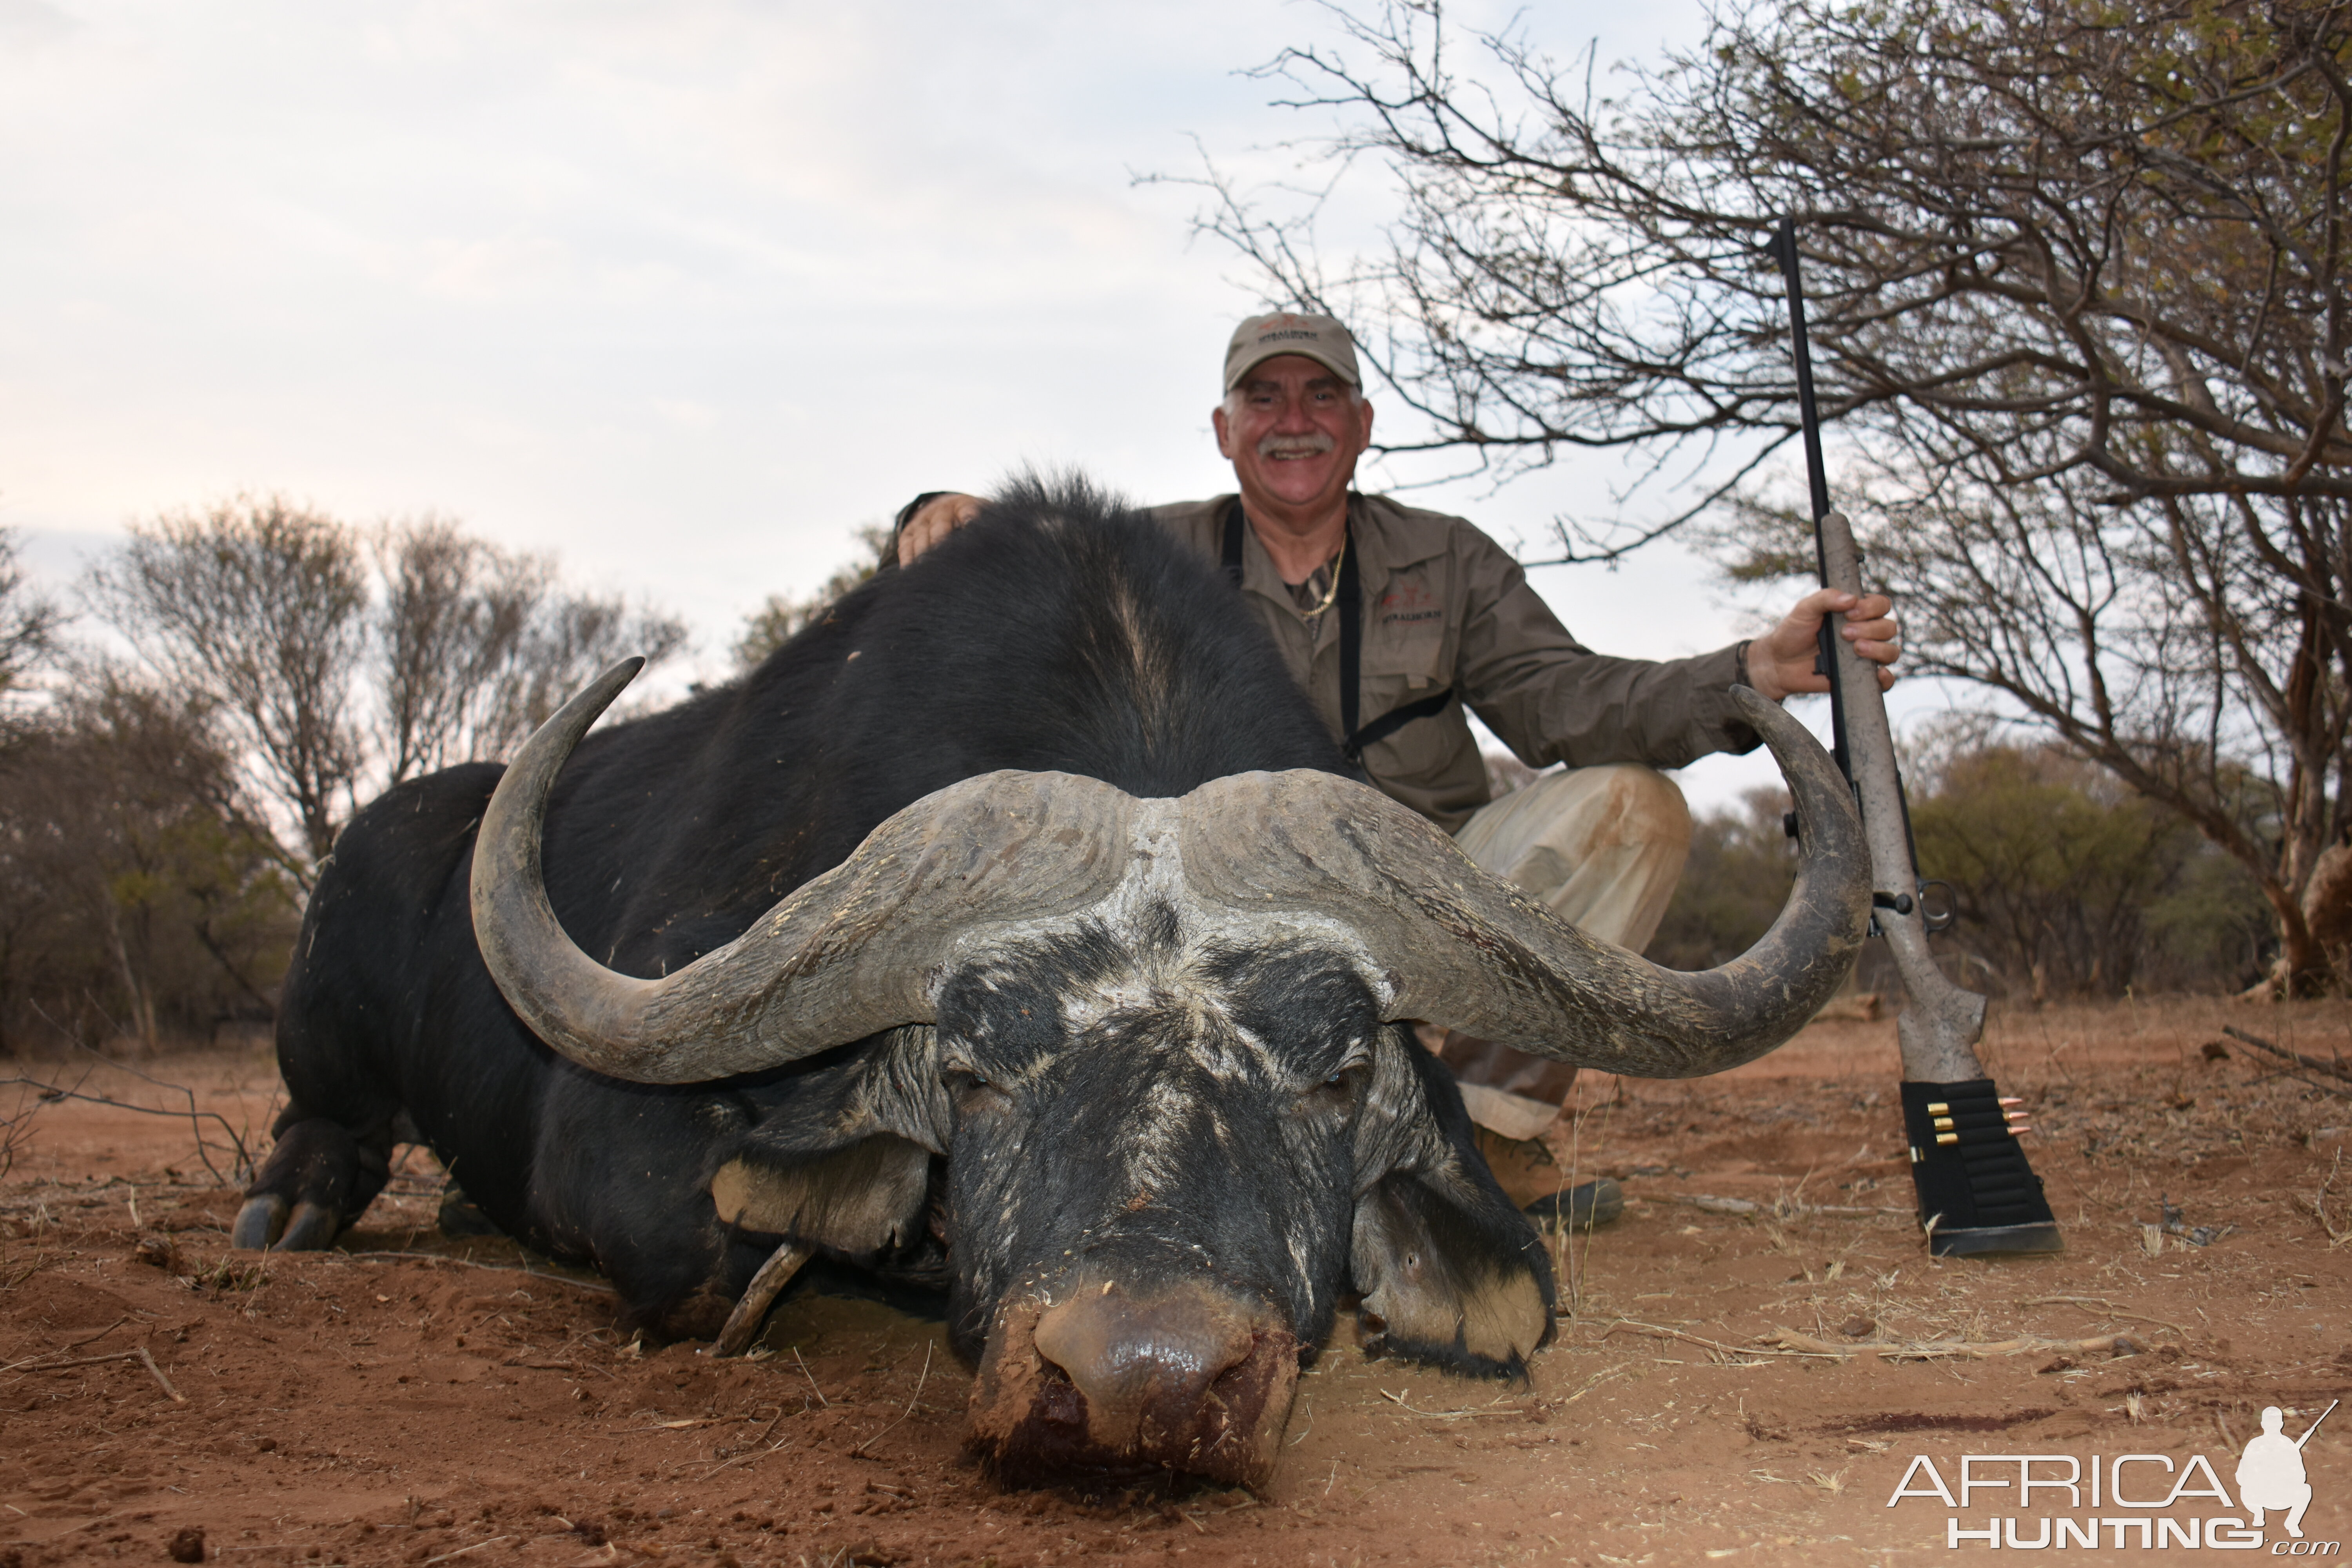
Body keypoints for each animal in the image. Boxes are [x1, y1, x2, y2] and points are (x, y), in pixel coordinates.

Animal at [234, 475, 1853, 1486]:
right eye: (971, 1065)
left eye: (1339, 1076)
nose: (1142, 1379)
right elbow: (712, 1254)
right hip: (327, 1015)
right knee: (324, 1123)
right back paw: (294, 1208)